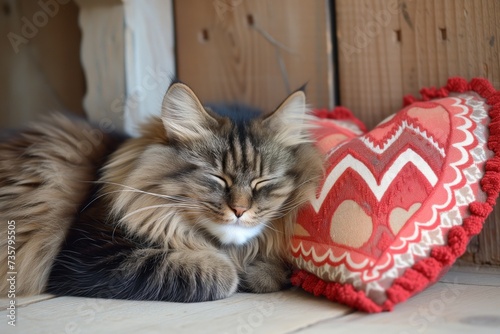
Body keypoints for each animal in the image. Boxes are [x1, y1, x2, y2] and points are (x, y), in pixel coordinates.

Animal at [0, 83, 324, 302]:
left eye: (261, 182)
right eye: (217, 177)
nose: (240, 210)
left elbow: (274, 273)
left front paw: (256, 272)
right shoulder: (87, 254)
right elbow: (217, 273)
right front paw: (235, 271)